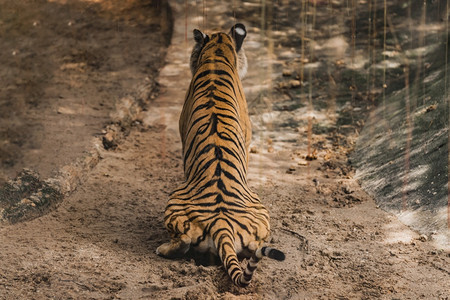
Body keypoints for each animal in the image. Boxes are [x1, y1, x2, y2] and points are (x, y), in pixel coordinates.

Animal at [157, 23, 284, 288]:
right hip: (261, 213)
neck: (217, 52)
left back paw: (162, 249)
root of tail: (222, 223)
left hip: (174, 200)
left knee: (182, 243)